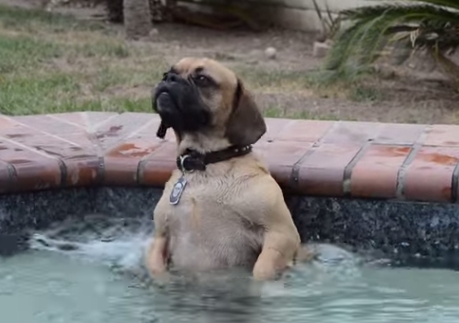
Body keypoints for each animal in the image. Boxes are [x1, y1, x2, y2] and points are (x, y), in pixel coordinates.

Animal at [146, 57, 304, 280]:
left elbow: (262, 270)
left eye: (202, 79)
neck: (207, 164)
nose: (169, 79)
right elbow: (156, 268)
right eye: (166, 73)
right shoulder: (161, 236)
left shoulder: (281, 233)